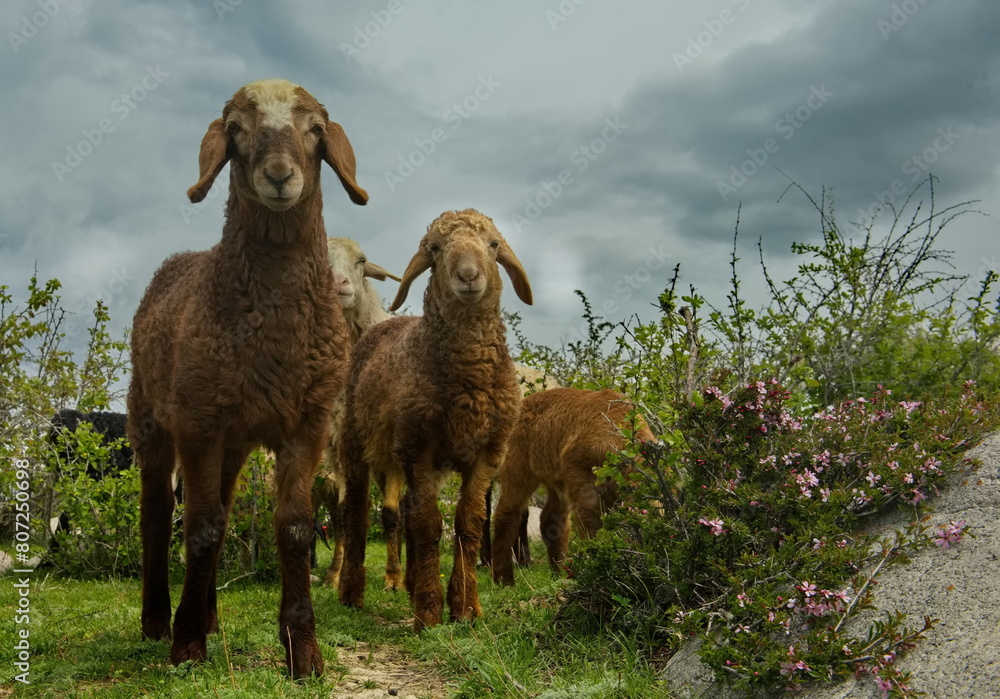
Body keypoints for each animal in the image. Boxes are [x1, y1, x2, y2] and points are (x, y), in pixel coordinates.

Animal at [127, 78, 368, 677]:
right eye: (235, 130)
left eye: (315, 129)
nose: (279, 175)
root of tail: (181, 258)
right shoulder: (198, 421)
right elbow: (201, 529)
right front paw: (187, 645)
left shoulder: (307, 423)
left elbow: (294, 527)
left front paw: (303, 650)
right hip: (152, 420)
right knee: (159, 516)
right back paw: (158, 620)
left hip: (232, 440)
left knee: (222, 505)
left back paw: (210, 616)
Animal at [312, 237, 401, 590]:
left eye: (361, 261)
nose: (338, 284)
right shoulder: (336, 448)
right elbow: (340, 513)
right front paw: (335, 575)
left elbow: (389, 512)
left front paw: (393, 579)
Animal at [337, 208, 533, 631]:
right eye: (435, 249)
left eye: (494, 244)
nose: (469, 276)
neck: (469, 377)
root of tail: (382, 326)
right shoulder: (418, 449)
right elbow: (428, 525)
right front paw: (428, 612)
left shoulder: (488, 452)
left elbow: (469, 523)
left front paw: (465, 607)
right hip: (355, 441)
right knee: (356, 512)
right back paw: (351, 594)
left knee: (405, 510)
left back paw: (409, 583)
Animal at [491, 387, 655, 586]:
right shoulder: (579, 470)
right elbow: (591, 524)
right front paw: (593, 564)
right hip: (519, 463)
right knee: (507, 513)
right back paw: (504, 579)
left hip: (555, 476)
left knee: (551, 519)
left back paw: (558, 573)